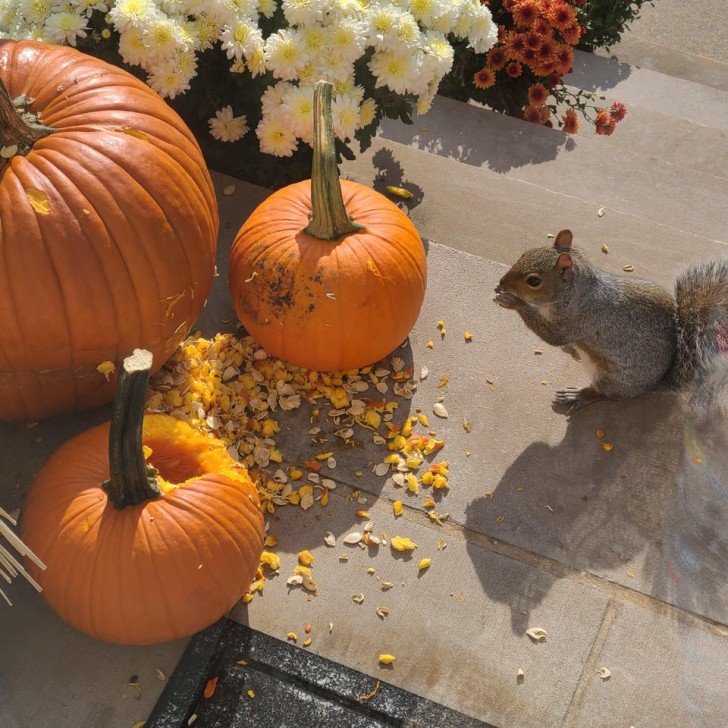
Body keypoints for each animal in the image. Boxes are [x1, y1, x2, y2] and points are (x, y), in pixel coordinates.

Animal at [492, 229, 728, 410]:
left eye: (534, 281)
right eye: (526, 253)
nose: (502, 282)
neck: (576, 291)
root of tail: (653, 386)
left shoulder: (579, 320)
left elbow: (552, 336)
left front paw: (512, 301)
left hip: (611, 377)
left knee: (604, 394)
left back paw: (578, 394)